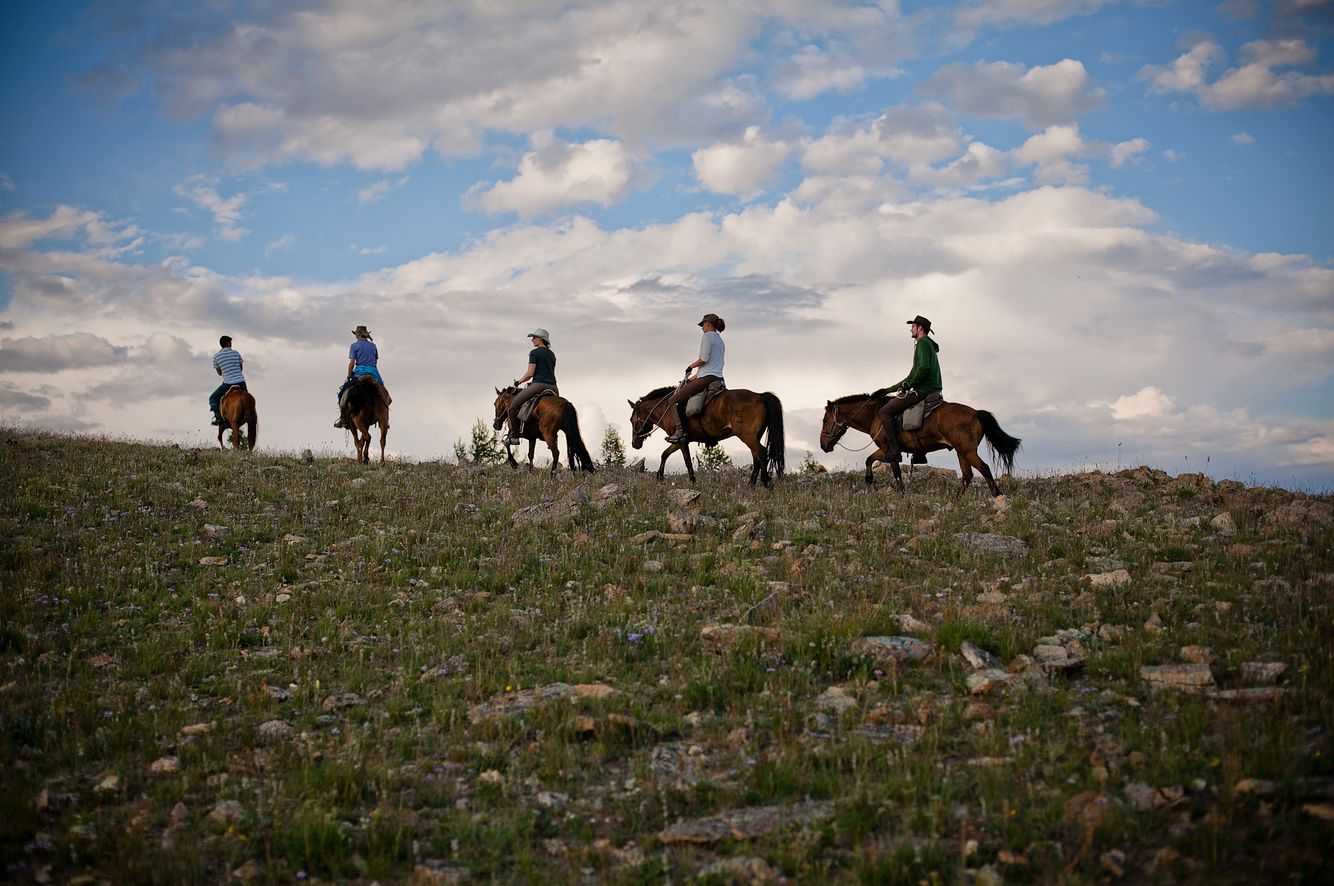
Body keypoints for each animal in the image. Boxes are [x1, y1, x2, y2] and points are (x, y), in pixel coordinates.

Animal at [629, 384, 784, 488]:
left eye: (632, 420)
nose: (634, 444)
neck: (668, 409)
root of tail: (760, 395)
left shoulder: (682, 441)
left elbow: (687, 461)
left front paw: (692, 481)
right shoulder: (678, 441)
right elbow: (664, 454)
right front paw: (660, 476)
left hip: (748, 436)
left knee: (762, 453)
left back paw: (766, 482)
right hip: (753, 437)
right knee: (756, 456)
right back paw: (751, 484)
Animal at [811, 389, 1019, 499]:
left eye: (824, 420)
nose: (823, 445)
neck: (875, 414)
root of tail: (976, 412)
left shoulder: (889, 450)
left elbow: (896, 473)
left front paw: (901, 494)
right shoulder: (883, 449)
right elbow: (869, 460)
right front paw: (870, 480)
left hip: (967, 451)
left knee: (984, 469)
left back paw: (998, 496)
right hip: (961, 452)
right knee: (967, 475)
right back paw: (957, 500)